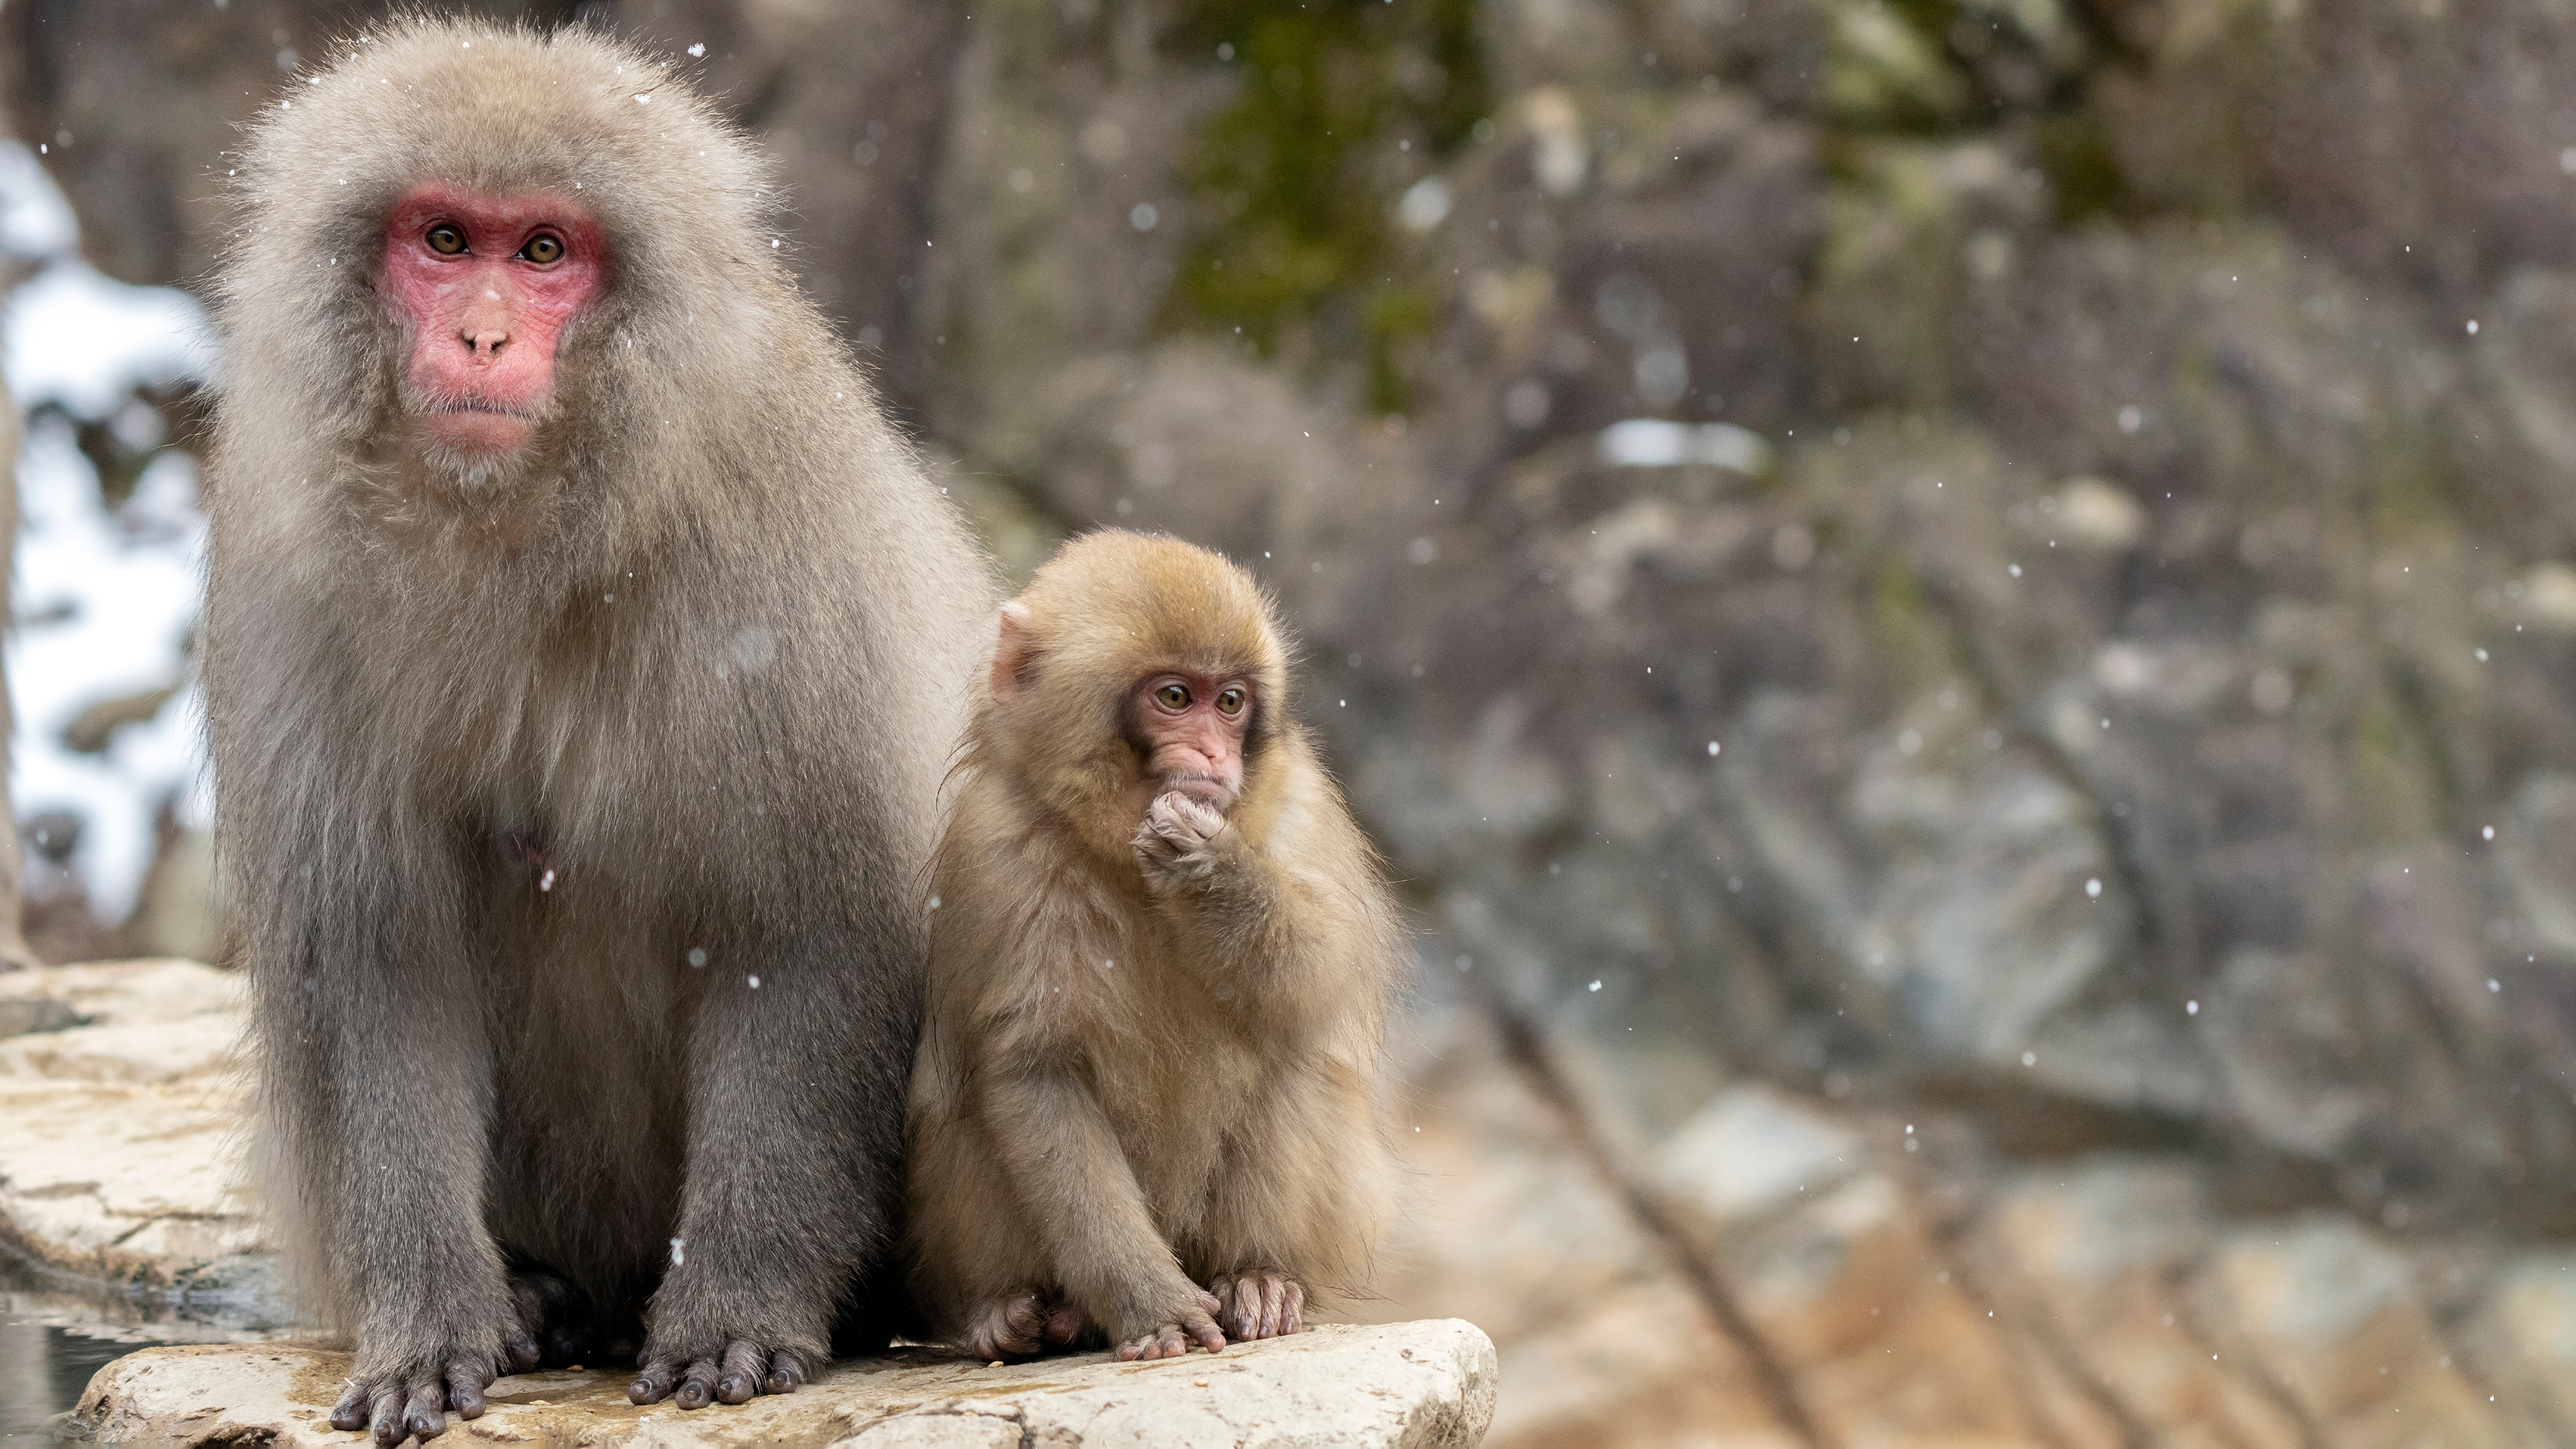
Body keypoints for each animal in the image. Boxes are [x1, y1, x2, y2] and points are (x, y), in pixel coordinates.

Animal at [200, 22, 992, 1442]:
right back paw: (551, 1299)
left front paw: (736, 1309)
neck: (521, 528)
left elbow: (807, 932)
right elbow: (378, 959)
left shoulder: (781, 563)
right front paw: (431, 1320)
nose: (480, 334)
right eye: (443, 239)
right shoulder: (290, 575)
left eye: (544, 252)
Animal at [905, 530, 1404, 1365]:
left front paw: (1210, 871)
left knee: (1291, 1057)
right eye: (1175, 698)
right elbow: (1033, 1069)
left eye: (1229, 702)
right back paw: (1017, 1313)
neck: (1122, 854)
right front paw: (1148, 1302)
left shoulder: (1298, 808)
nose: (1213, 758)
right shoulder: (995, 848)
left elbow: (1320, 975)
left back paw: (1256, 1279)